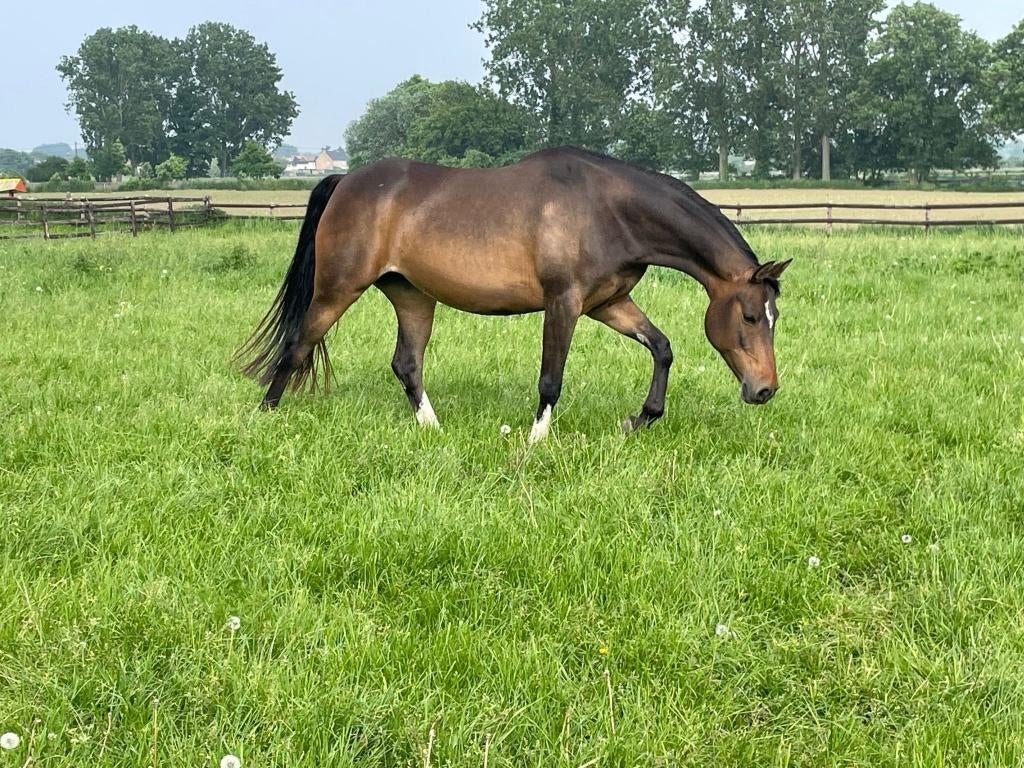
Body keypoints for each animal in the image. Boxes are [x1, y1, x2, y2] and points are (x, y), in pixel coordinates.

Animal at [235, 147, 791, 442]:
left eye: (774, 316)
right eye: (749, 316)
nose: (765, 390)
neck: (607, 209)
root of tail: (347, 179)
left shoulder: (607, 304)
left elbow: (661, 347)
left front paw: (639, 419)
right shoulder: (564, 303)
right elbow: (551, 379)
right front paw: (536, 439)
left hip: (413, 296)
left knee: (406, 364)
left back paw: (434, 429)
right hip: (337, 290)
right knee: (297, 346)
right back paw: (264, 418)